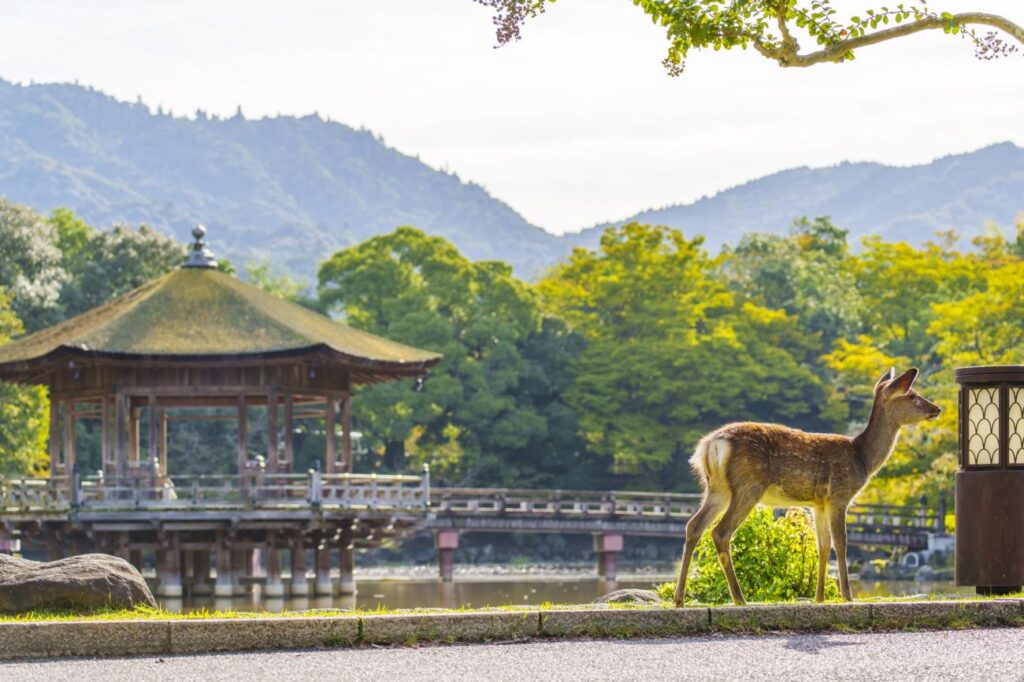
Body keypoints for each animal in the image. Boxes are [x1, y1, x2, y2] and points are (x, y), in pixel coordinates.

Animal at [673, 367, 941, 607]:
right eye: (912, 395)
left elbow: (822, 546)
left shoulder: (818, 503)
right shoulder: (839, 495)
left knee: (693, 526)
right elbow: (841, 543)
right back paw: (739, 598)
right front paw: (847, 596)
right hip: (748, 485)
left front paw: (819, 597)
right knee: (720, 532)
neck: (862, 458)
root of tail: (710, 445)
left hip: (717, 489)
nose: (937, 409)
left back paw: (679, 599)